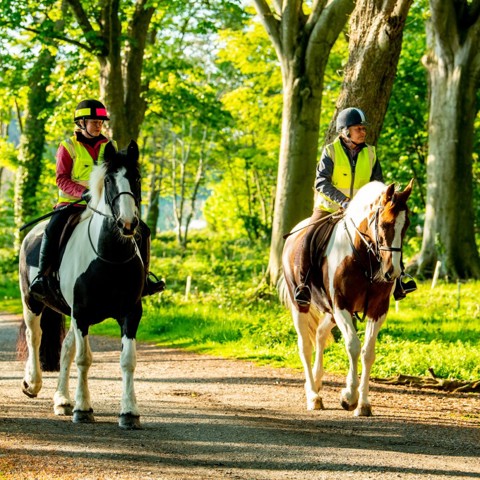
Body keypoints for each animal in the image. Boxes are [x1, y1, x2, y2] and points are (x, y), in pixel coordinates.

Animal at [18, 141, 146, 430]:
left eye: (136, 178)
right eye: (109, 180)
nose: (128, 223)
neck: (110, 257)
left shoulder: (130, 313)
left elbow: (128, 360)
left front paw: (129, 412)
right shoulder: (82, 313)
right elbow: (84, 359)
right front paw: (83, 409)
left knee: (66, 348)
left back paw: (63, 400)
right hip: (31, 302)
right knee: (35, 336)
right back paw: (33, 384)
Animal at [282, 180, 412, 416]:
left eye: (405, 225)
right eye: (385, 224)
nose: (392, 272)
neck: (365, 259)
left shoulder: (378, 309)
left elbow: (368, 352)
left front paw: (364, 404)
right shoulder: (341, 305)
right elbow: (353, 345)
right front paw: (349, 397)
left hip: (330, 311)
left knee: (320, 334)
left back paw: (317, 381)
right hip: (301, 304)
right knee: (305, 345)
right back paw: (313, 396)